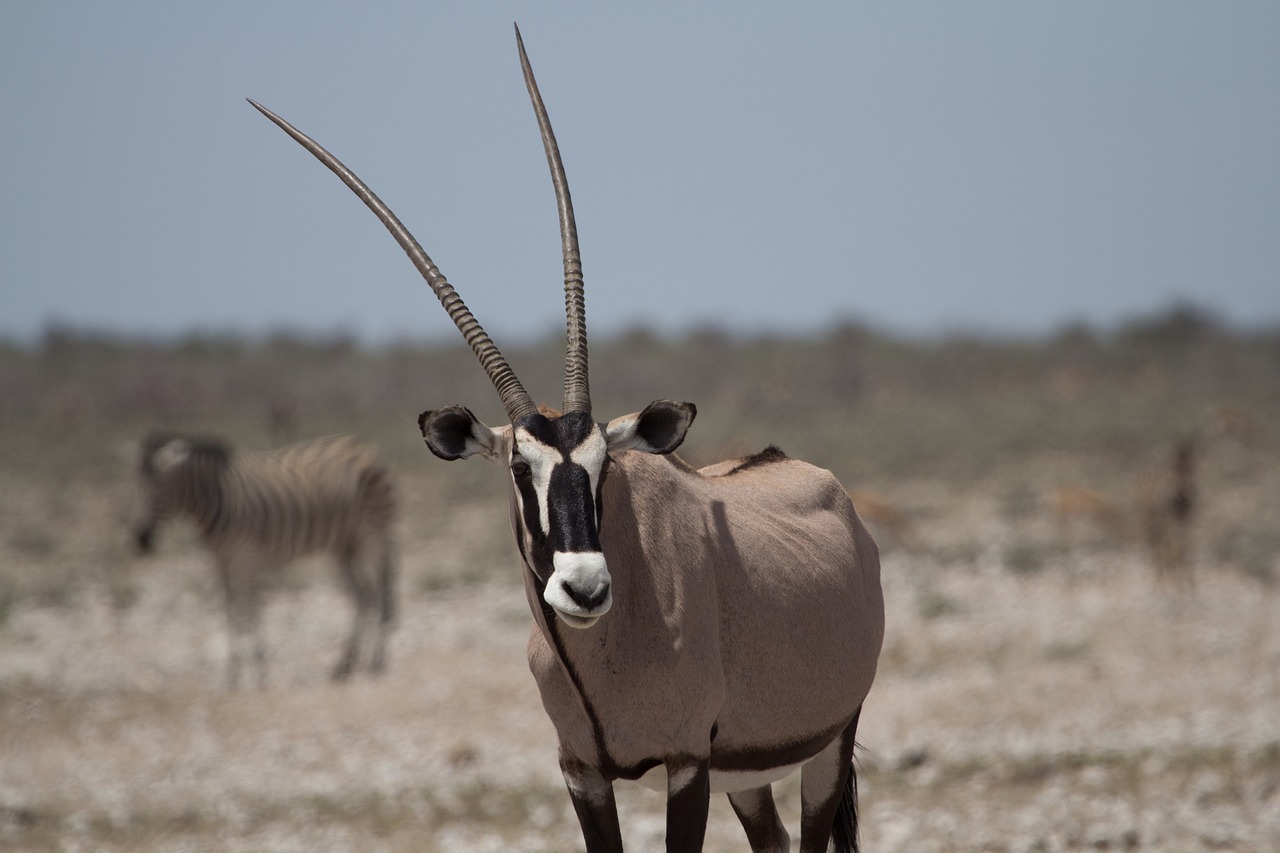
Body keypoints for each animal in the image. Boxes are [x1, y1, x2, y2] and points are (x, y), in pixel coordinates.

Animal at [132, 432, 396, 686]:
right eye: (134, 487)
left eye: (161, 490)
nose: (141, 540)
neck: (217, 498)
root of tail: (365, 447)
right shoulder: (222, 563)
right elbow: (231, 614)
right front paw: (232, 677)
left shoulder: (246, 557)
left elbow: (251, 613)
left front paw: (260, 674)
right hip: (344, 545)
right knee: (362, 596)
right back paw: (345, 667)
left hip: (372, 534)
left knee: (378, 594)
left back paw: (376, 664)